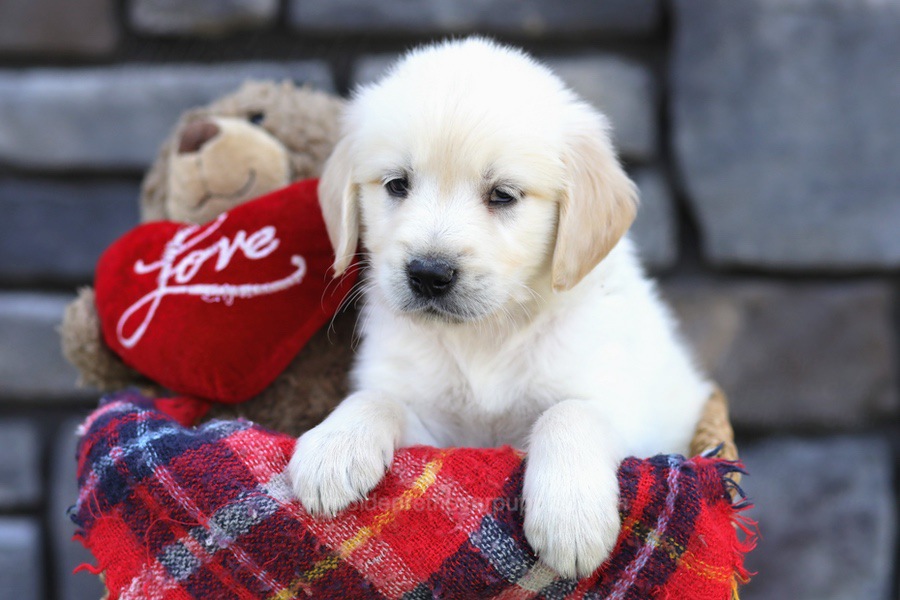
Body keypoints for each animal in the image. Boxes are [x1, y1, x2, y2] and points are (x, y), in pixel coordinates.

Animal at [288, 36, 712, 576]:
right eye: (397, 185)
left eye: (503, 195)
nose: (428, 274)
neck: (486, 333)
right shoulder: (437, 437)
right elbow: (378, 398)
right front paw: (333, 445)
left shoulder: (632, 414)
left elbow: (569, 411)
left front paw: (570, 516)